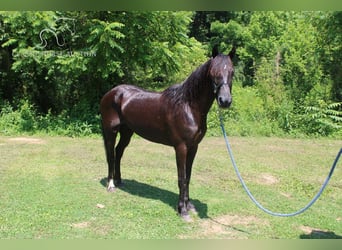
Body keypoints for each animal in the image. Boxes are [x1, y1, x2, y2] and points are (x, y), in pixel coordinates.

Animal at [101, 47, 235, 221]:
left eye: (232, 72)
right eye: (213, 72)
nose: (225, 101)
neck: (187, 105)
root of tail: (111, 93)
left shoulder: (193, 147)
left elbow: (188, 176)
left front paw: (189, 205)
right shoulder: (181, 147)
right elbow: (181, 178)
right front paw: (182, 210)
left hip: (127, 132)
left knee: (118, 152)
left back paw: (119, 181)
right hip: (111, 131)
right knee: (111, 154)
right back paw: (111, 185)